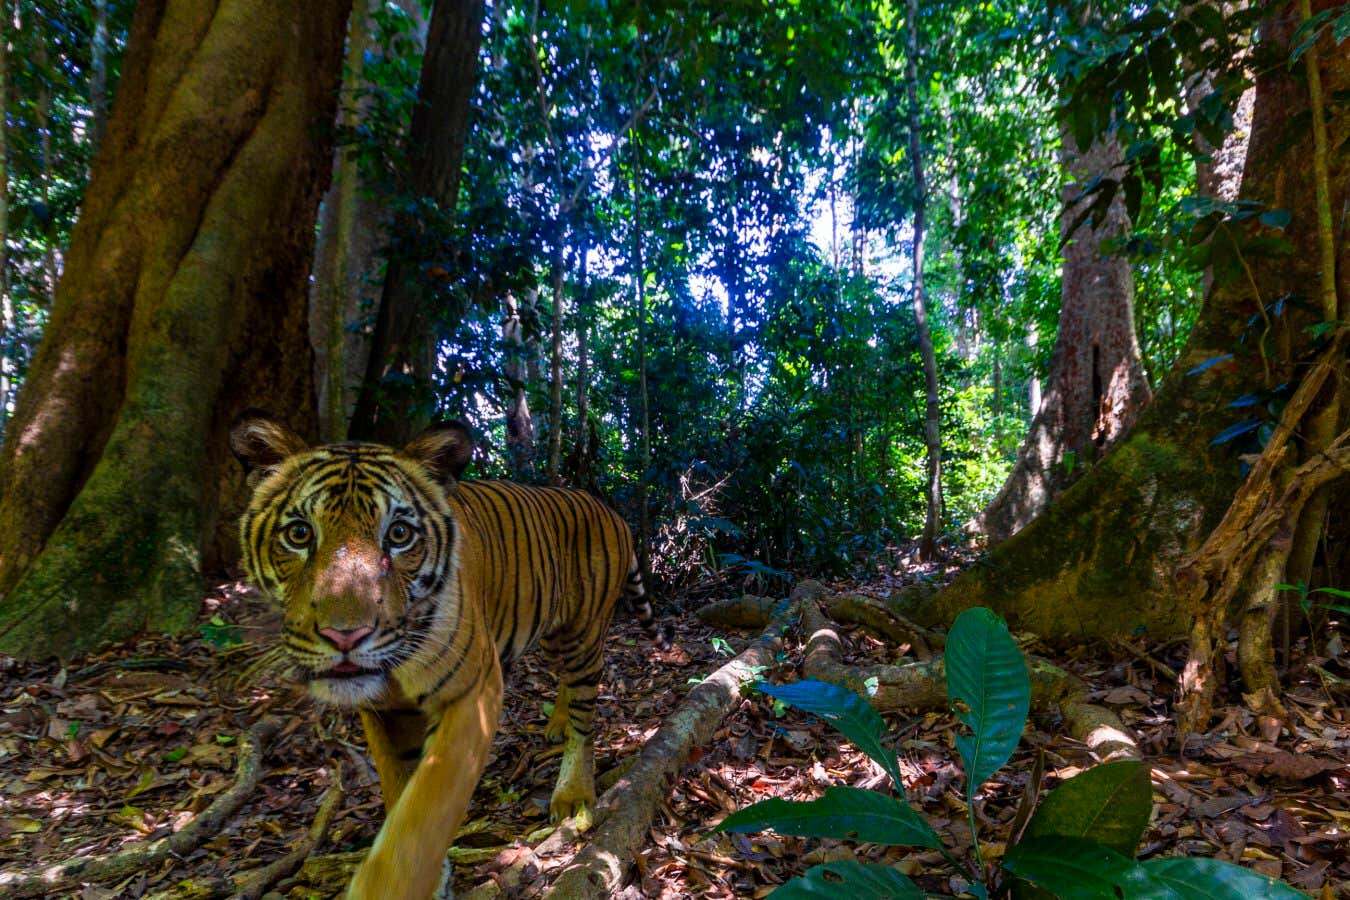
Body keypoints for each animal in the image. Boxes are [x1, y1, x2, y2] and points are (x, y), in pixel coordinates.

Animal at [229, 412, 666, 895]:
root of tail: (608, 509)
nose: (345, 636)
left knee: (586, 722)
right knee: (566, 684)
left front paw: (390, 885)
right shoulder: (380, 711)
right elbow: (398, 788)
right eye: (299, 534)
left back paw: (572, 795)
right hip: (552, 632)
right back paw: (556, 724)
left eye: (399, 535)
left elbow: (427, 804)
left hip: (583, 634)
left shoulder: (473, 691)